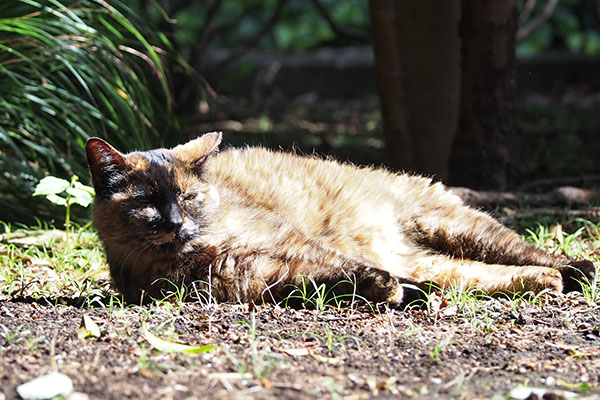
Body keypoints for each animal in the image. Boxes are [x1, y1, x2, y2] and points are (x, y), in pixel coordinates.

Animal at [84, 132, 596, 306]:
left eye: (188, 197)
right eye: (149, 202)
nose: (176, 223)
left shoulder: (293, 243)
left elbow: (346, 265)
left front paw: (396, 291)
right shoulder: (265, 274)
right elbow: (332, 279)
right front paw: (395, 292)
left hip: (453, 225)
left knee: (523, 249)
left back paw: (578, 270)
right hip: (438, 259)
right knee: (484, 275)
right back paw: (548, 282)